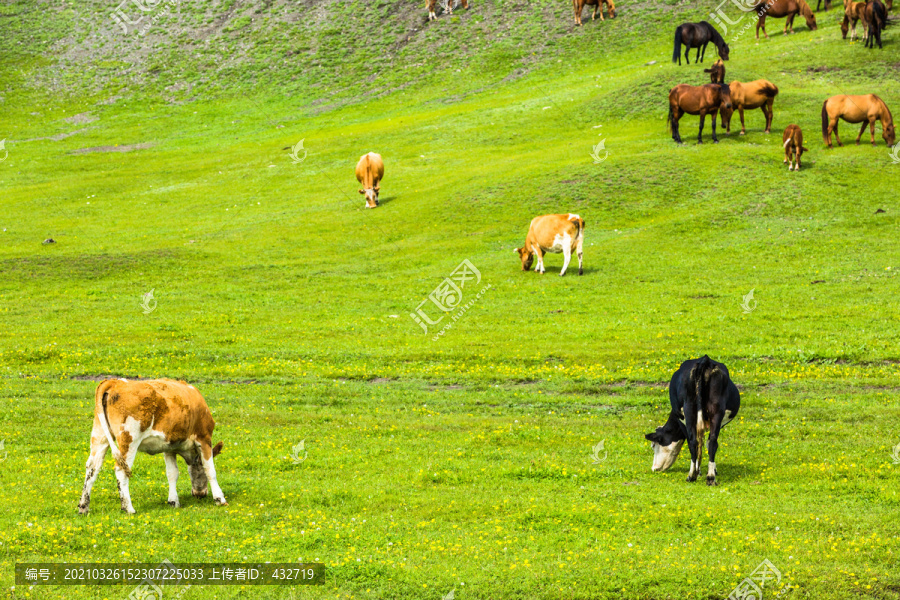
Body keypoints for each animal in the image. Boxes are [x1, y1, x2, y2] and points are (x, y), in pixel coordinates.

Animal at [77, 378, 227, 512]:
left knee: (92, 467)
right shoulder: (204, 438)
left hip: (100, 436)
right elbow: (210, 470)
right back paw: (128, 508)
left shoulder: (169, 447)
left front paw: (173, 501)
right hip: (129, 439)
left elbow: (172, 473)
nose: (199, 494)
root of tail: (114, 382)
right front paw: (219, 499)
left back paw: (83, 507)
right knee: (120, 470)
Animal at [644, 358, 740, 486]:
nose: (654, 468)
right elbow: (707, 443)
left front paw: (698, 471)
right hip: (716, 410)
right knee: (712, 442)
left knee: (693, 442)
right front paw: (712, 470)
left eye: (653, 445)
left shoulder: (682, 420)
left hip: (689, 409)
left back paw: (691, 476)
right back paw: (711, 477)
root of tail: (705, 360)